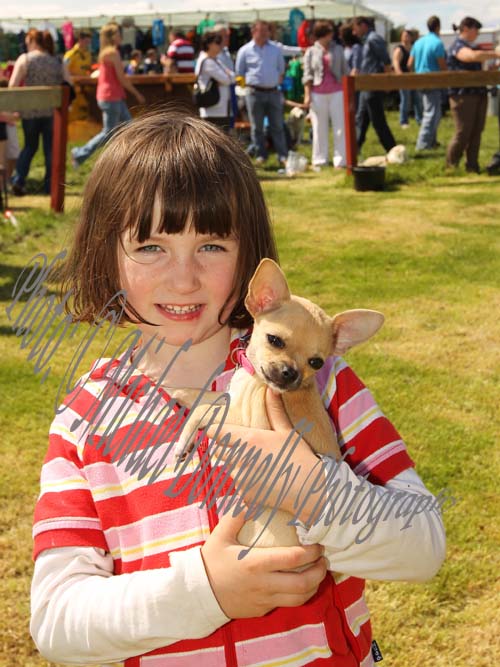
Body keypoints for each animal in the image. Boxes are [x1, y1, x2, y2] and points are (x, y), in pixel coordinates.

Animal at [172, 260, 382, 548]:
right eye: (275, 340)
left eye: (316, 362)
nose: (289, 373)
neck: (255, 381)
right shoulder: (232, 397)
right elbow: (210, 396)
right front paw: (173, 388)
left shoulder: (245, 420)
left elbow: (206, 409)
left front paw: (184, 440)